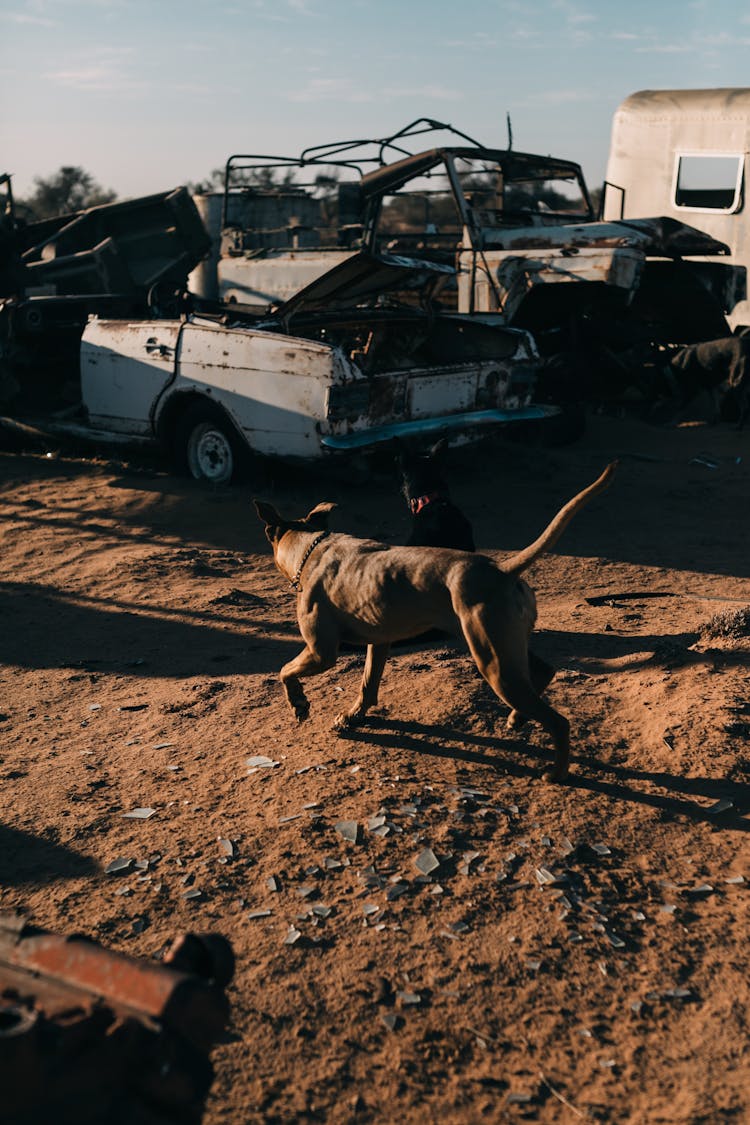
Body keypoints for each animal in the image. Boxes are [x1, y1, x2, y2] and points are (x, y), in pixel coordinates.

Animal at [255, 459, 620, 783]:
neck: (312, 548)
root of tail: (502, 570)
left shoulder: (321, 652)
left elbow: (285, 671)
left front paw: (299, 705)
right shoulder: (379, 641)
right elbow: (367, 684)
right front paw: (352, 717)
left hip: (493, 663)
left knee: (558, 721)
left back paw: (557, 773)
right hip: (502, 646)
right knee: (544, 671)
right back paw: (518, 719)